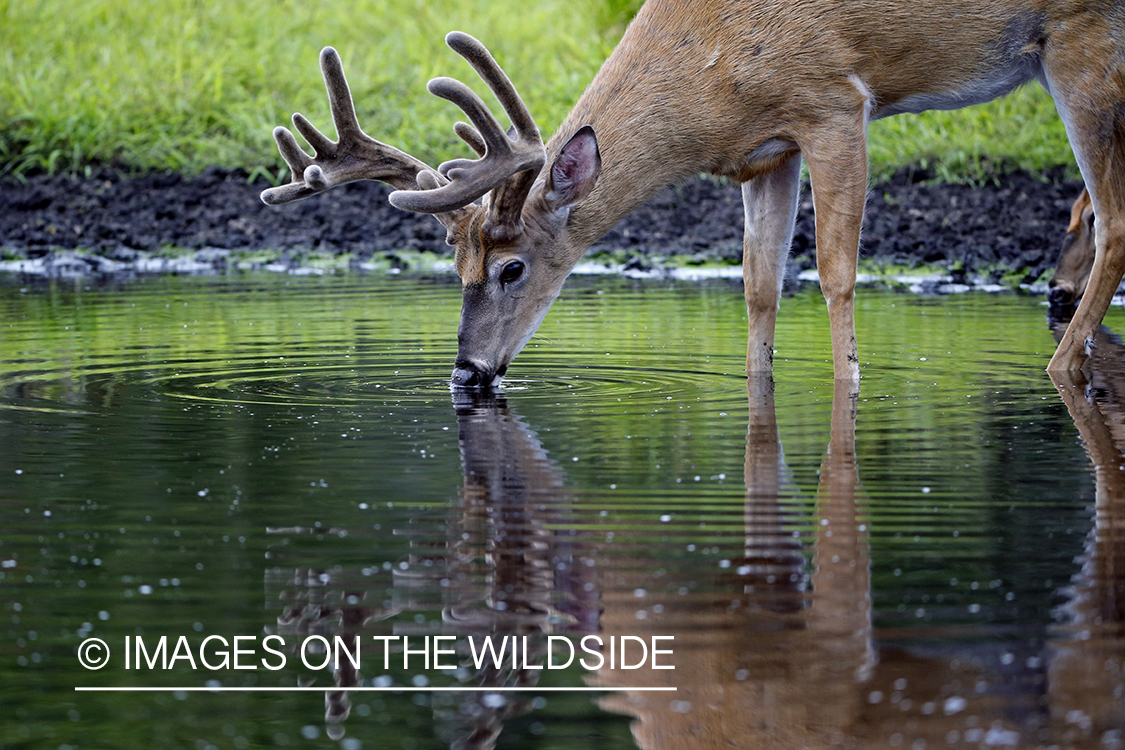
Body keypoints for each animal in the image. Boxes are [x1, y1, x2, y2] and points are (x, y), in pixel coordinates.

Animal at [258, 0, 1125, 386]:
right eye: (456, 269)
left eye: (511, 269)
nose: (467, 371)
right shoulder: (766, 151)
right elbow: (758, 284)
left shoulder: (834, 103)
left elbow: (836, 272)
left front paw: (848, 384)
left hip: (1082, 46)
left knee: (1111, 217)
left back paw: (1059, 369)